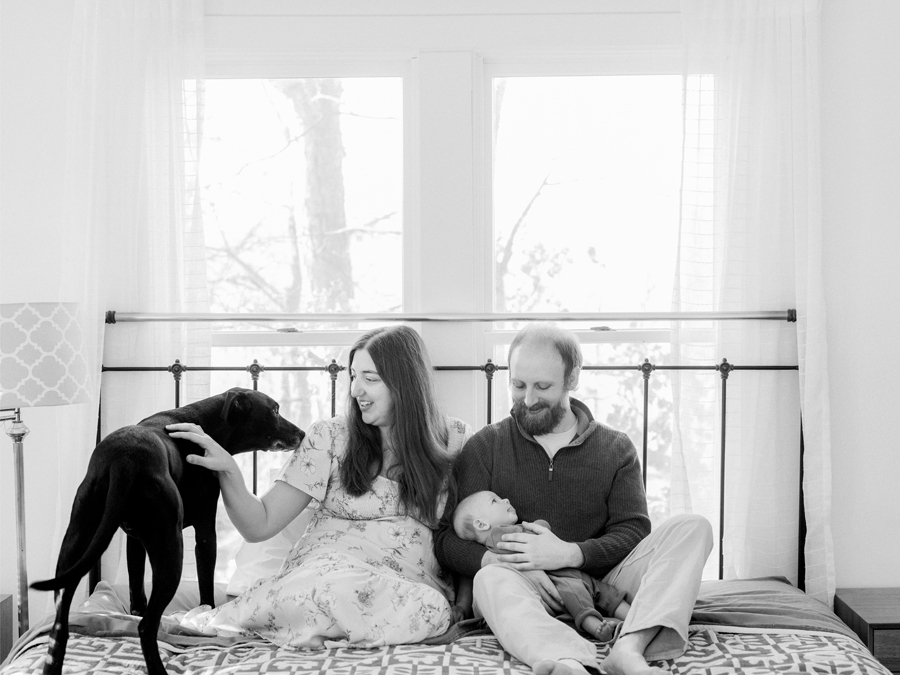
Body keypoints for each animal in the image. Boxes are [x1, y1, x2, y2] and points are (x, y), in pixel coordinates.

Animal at [31, 388, 306, 675]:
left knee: (60, 626)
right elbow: (205, 588)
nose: (303, 433)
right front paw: (205, 616)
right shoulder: (205, 531)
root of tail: (123, 460)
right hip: (171, 549)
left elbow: (136, 590)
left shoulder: (134, 540)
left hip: (75, 545)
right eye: (275, 410)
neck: (208, 425)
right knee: (147, 626)